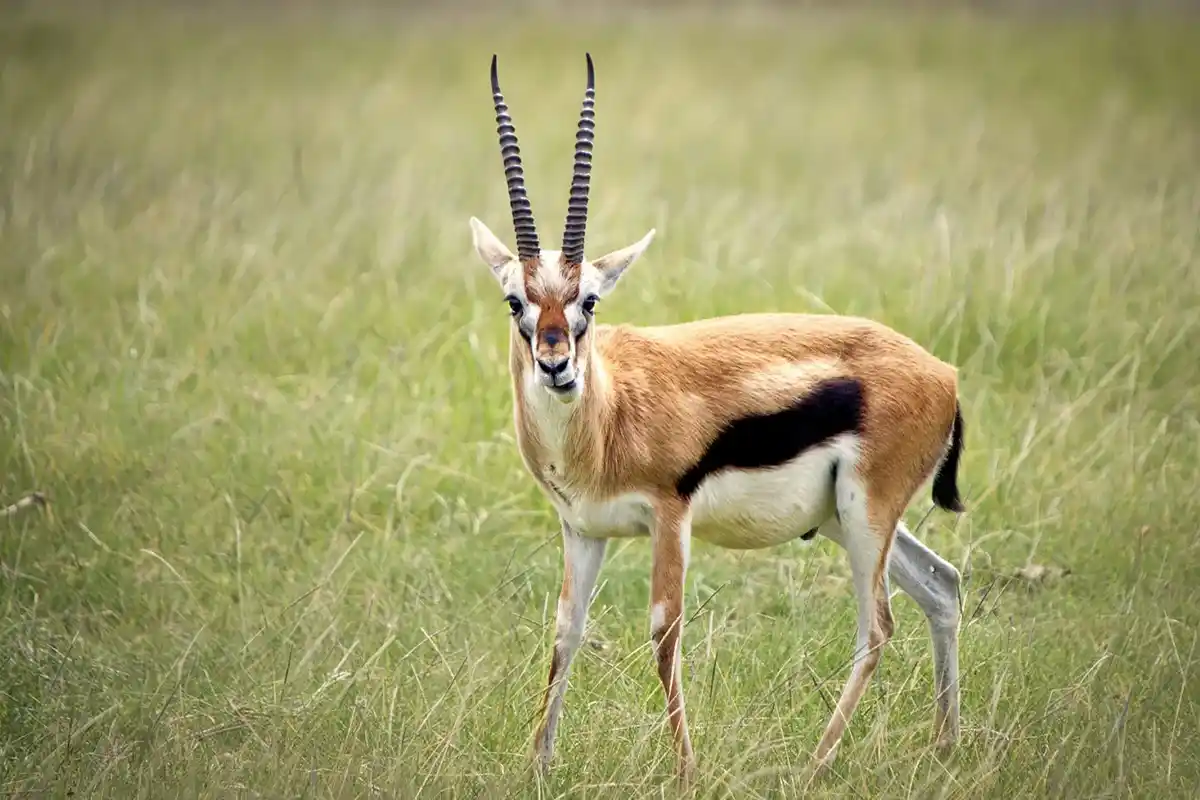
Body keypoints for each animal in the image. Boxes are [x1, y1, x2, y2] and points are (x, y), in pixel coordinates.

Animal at [469, 54, 965, 782]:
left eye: (589, 299)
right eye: (515, 302)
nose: (556, 365)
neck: (609, 413)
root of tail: (944, 374)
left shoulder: (669, 517)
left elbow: (663, 632)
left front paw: (687, 771)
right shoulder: (581, 530)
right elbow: (565, 630)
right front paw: (538, 766)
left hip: (865, 514)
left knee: (877, 625)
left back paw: (815, 763)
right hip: (847, 521)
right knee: (942, 585)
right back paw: (943, 747)